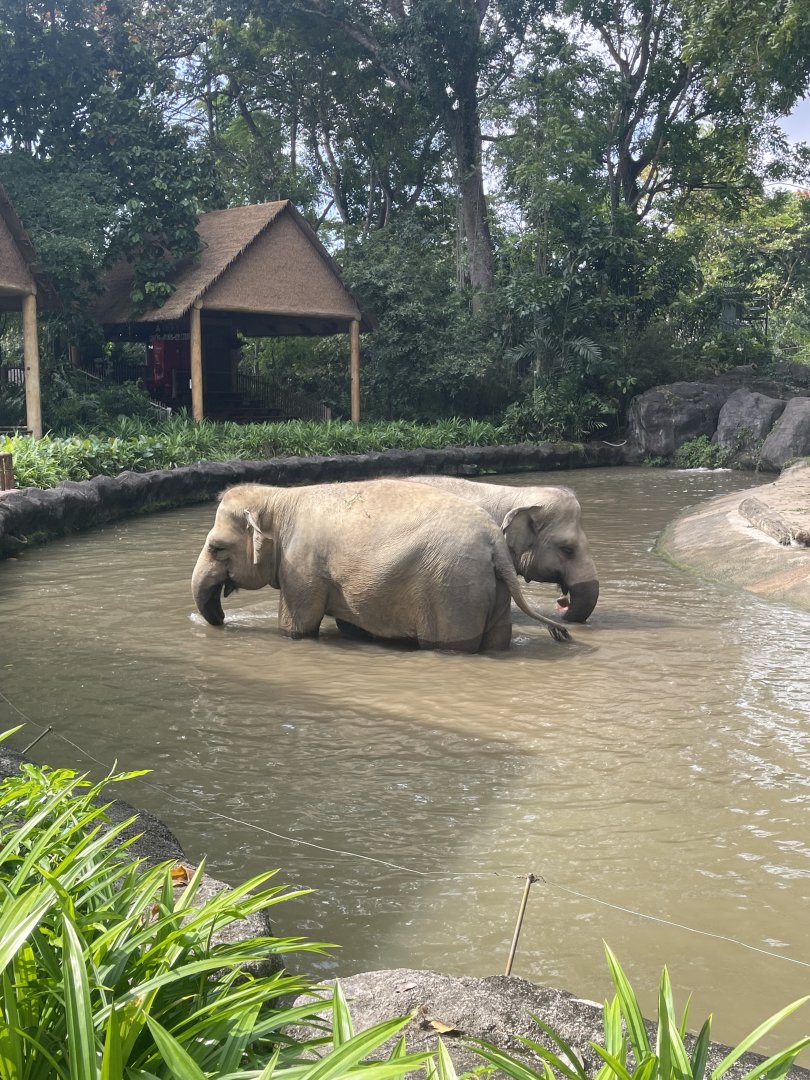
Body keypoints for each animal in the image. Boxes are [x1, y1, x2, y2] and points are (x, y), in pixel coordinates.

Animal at [191, 479, 572, 652]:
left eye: (216, 547)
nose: (222, 617)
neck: (278, 497)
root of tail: (495, 542)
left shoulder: (301, 568)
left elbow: (298, 627)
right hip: (488, 588)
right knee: (496, 641)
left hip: (453, 590)